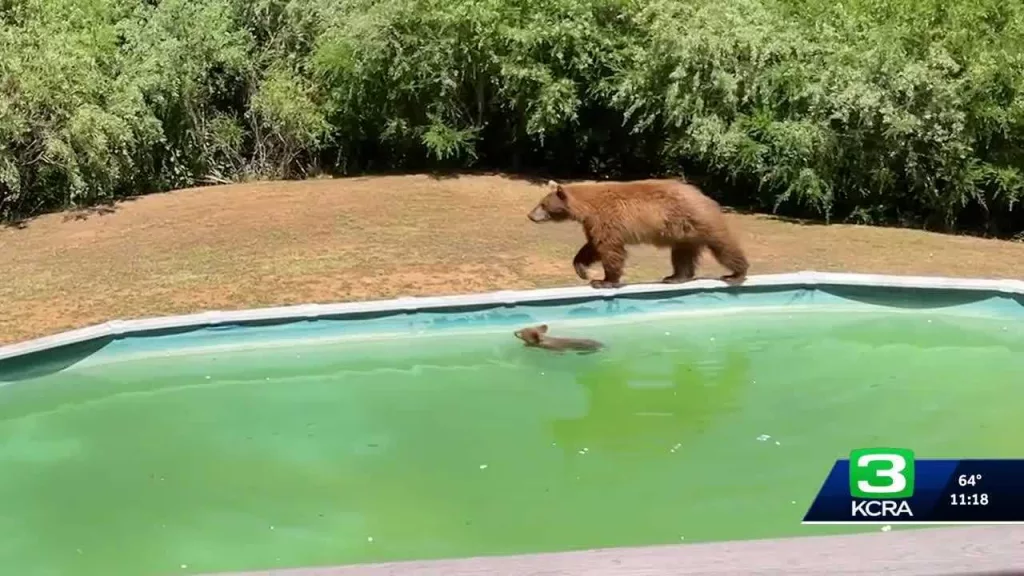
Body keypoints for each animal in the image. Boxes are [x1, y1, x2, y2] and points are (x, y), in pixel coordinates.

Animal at [526, 178, 749, 289]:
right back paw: (674, 277)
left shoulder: (606, 219)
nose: (530, 215)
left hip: (698, 221)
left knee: (723, 246)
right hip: (683, 233)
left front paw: (604, 281)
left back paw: (735, 273)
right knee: (682, 255)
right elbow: (592, 246)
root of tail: (703, 196)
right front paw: (583, 270)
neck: (587, 208)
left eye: (543, 204)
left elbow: (609, 249)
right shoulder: (593, 224)